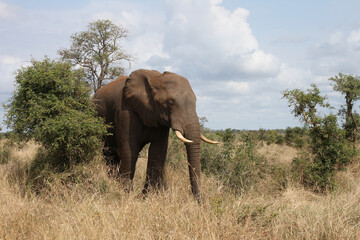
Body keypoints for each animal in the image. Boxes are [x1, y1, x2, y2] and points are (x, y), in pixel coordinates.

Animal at [93, 69, 218, 201]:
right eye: (170, 103)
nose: (201, 202)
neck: (155, 79)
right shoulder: (124, 111)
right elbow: (129, 150)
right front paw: (126, 194)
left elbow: (158, 151)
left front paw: (147, 197)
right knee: (109, 154)